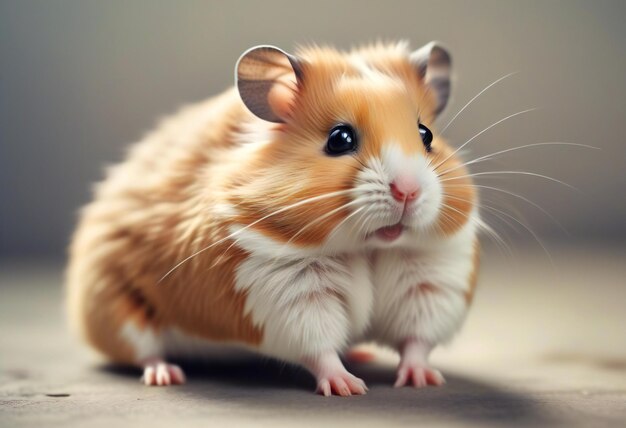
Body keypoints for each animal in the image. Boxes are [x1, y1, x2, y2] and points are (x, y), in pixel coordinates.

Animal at [66, 41, 478, 396]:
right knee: (144, 352)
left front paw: (423, 380)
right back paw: (165, 375)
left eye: (425, 135)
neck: (368, 247)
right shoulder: (285, 293)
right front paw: (348, 387)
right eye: (340, 138)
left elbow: (416, 339)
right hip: (116, 309)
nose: (408, 191)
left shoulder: (432, 279)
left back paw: (362, 353)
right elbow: (318, 346)